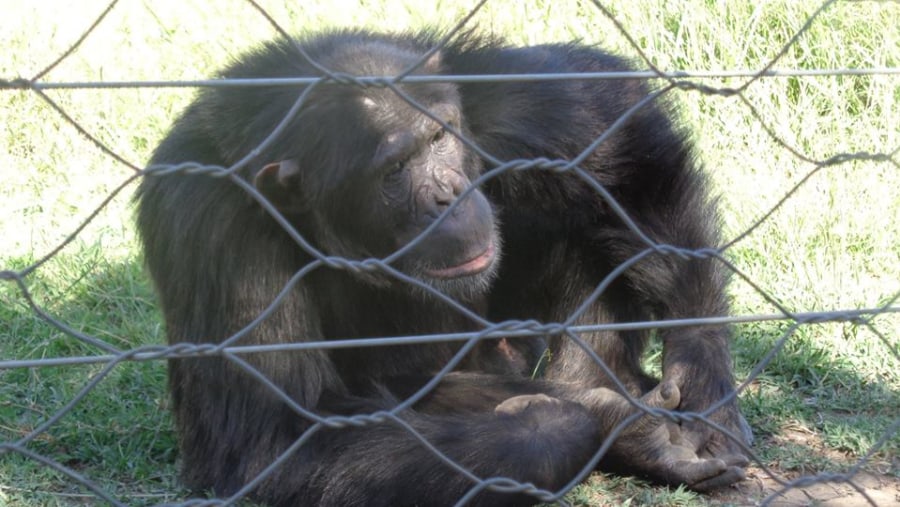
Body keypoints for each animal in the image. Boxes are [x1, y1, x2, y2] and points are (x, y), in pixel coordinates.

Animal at [135, 28, 752, 507]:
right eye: (394, 169)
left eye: (438, 138)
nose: (447, 193)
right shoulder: (211, 228)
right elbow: (276, 436)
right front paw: (593, 422)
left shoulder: (507, 104)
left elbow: (617, 120)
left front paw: (701, 376)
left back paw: (608, 378)